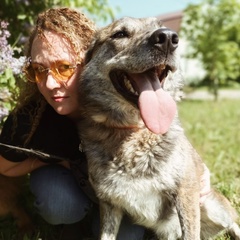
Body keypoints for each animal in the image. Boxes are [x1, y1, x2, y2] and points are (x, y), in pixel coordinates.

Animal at [78, 17, 240, 240]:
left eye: (159, 26)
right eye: (120, 34)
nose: (168, 38)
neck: (137, 133)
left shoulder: (187, 192)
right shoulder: (109, 203)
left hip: (213, 206)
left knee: (233, 223)